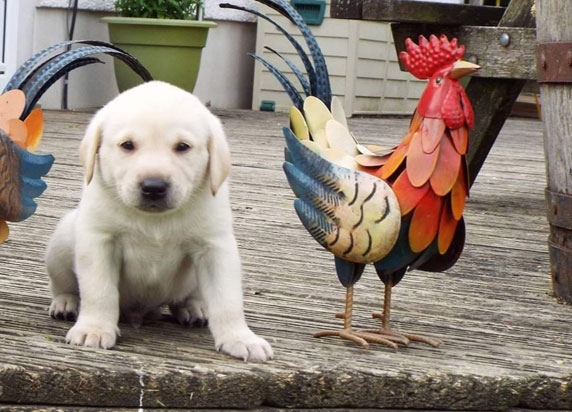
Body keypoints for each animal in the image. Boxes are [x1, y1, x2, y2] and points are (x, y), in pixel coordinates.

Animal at [45, 79, 274, 360]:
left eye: (183, 147)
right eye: (127, 145)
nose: (153, 187)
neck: (154, 220)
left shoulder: (214, 248)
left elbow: (227, 299)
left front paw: (240, 337)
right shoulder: (99, 241)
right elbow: (99, 292)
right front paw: (94, 328)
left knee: (187, 298)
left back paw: (192, 307)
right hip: (62, 241)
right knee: (64, 284)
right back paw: (66, 302)